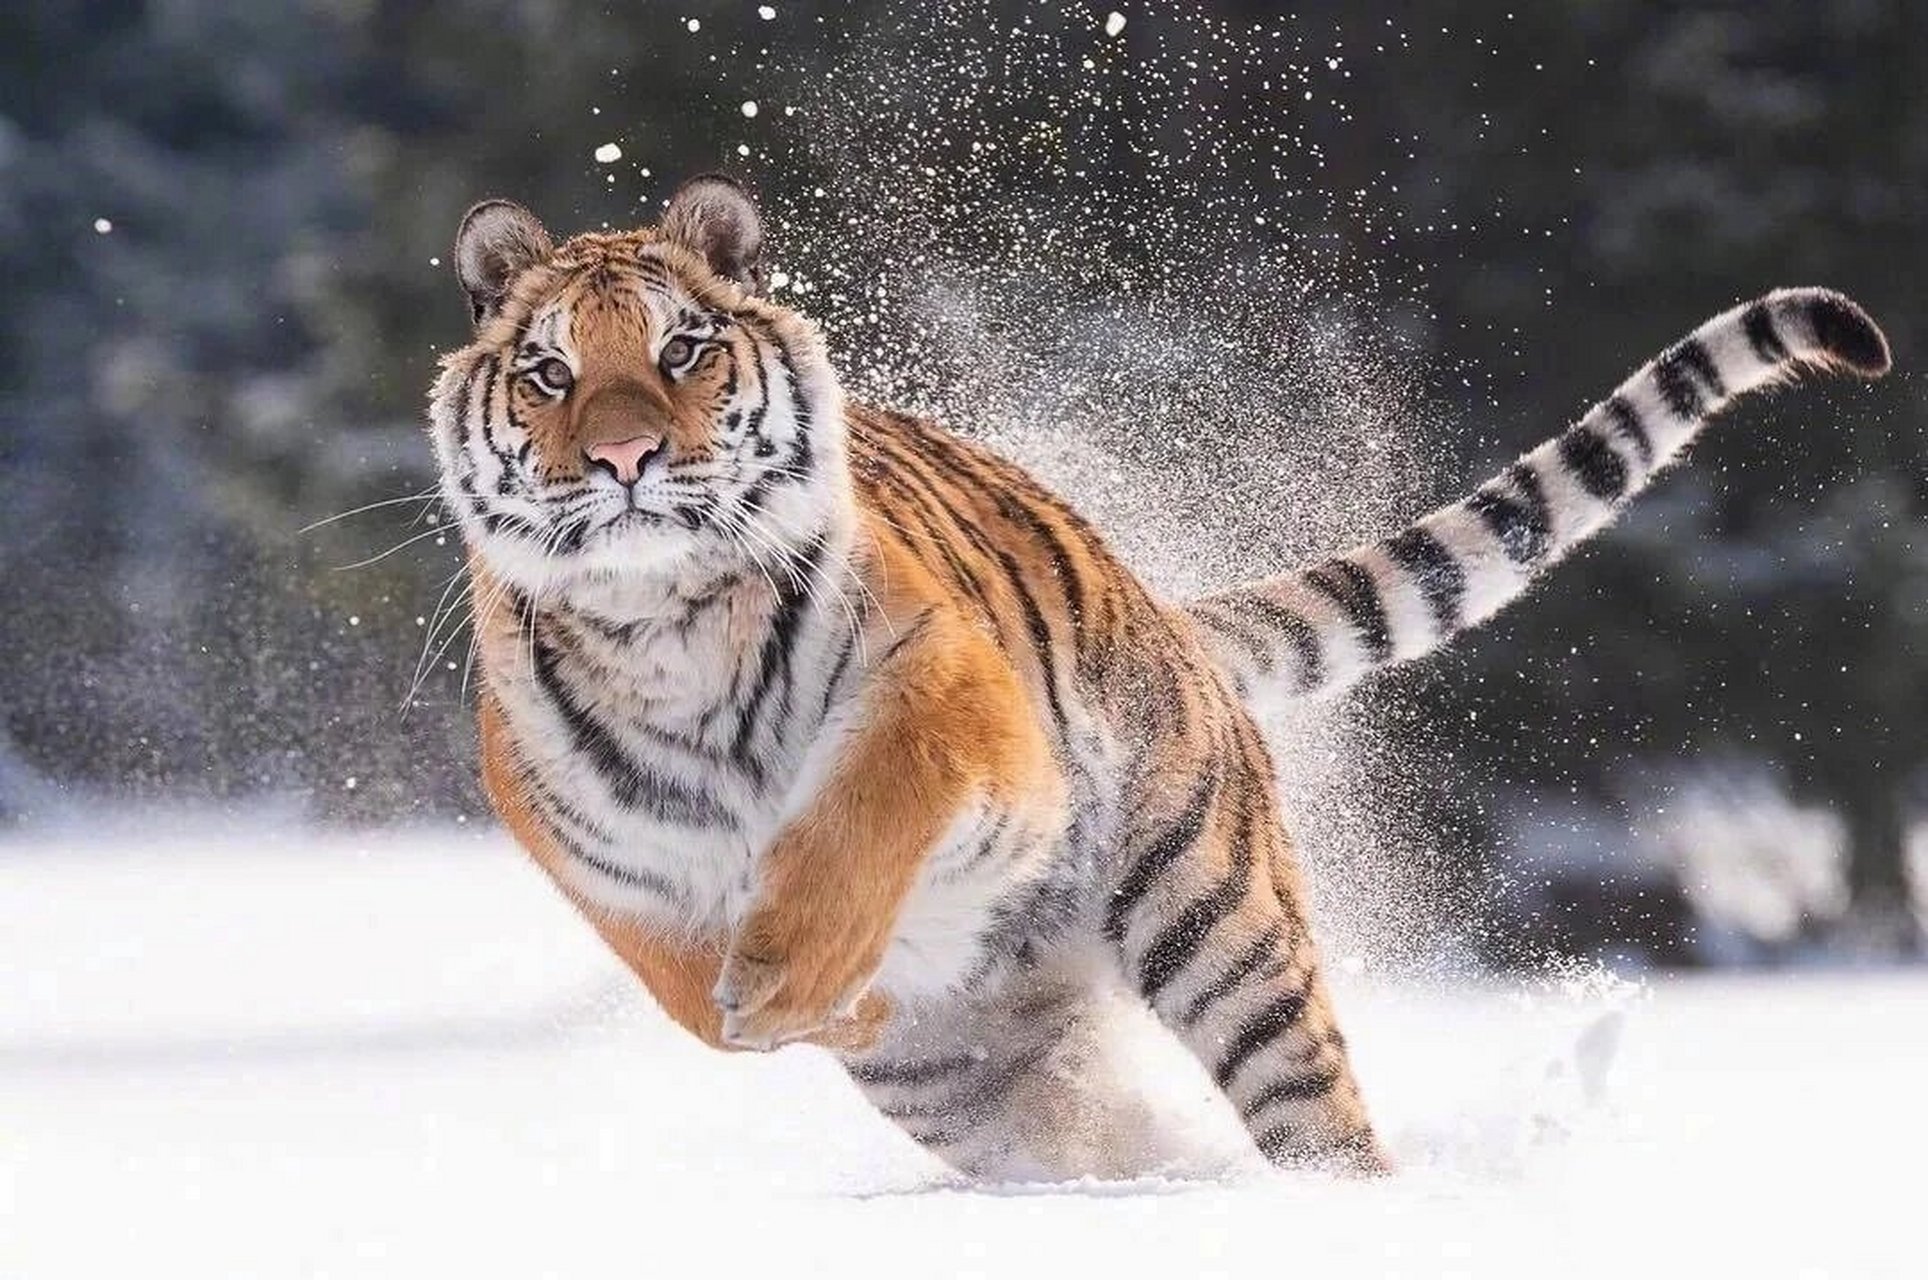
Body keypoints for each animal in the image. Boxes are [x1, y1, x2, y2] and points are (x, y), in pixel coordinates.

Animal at [426, 172, 1891, 1181]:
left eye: (681, 349)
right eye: (549, 370)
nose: (622, 459)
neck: (667, 621)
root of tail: (1167, 617)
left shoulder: (950, 688)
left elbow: (863, 803)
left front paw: (788, 972)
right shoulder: (586, 848)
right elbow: (680, 980)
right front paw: (789, 1001)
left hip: (1215, 919)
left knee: (1316, 1115)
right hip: (972, 1082)